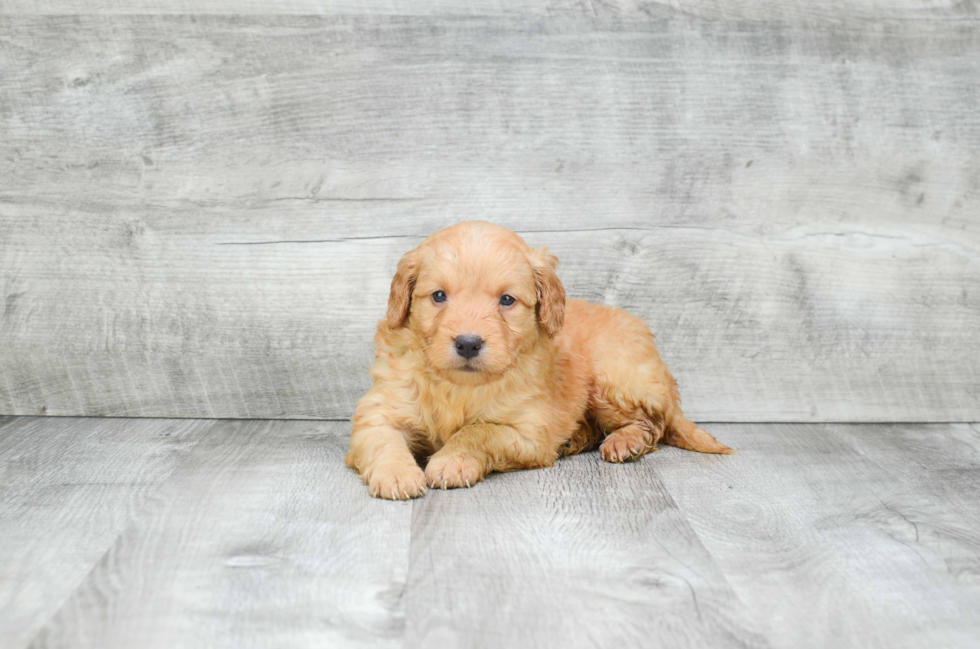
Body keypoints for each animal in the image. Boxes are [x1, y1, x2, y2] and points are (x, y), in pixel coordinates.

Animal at [346, 220, 736, 498]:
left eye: (506, 300)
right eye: (438, 296)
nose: (468, 344)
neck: (459, 387)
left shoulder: (529, 430)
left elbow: (478, 431)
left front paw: (451, 461)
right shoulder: (381, 408)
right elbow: (381, 438)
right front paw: (396, 474)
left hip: (613, 380)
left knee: (652, 424)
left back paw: (625, 442)